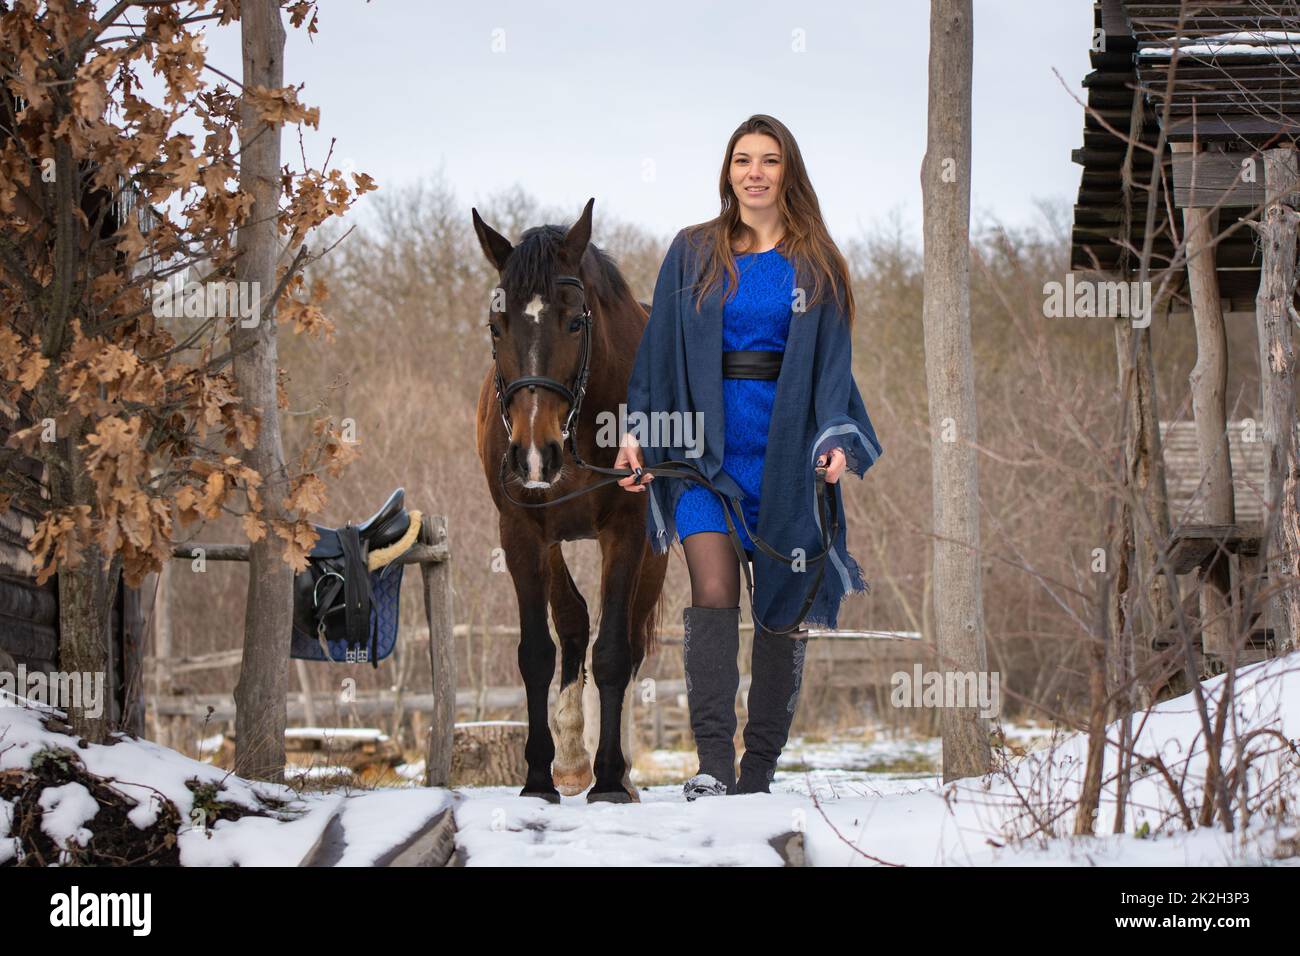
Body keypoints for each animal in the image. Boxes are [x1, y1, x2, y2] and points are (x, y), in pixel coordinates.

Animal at [470, 197, 670, 806]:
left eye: (576, 321)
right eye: (496, 324)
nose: (535, 454)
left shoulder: (628, 530)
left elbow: (613, 654)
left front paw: (609, 779)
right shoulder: (521, 530)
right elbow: (539, 651)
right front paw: (540, 777)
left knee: (628, 641)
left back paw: (615, 769)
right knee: (576, 619)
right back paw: (573, 757)